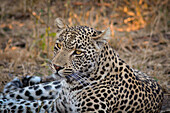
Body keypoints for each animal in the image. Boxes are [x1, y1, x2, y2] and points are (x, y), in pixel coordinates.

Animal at [0, 17, 164, 112]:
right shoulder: (55, 107)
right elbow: (25, 104)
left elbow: (23, 104)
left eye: (78, 52)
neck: (71, 86)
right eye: (58, 45)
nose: (56, 67)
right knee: (14, 93)